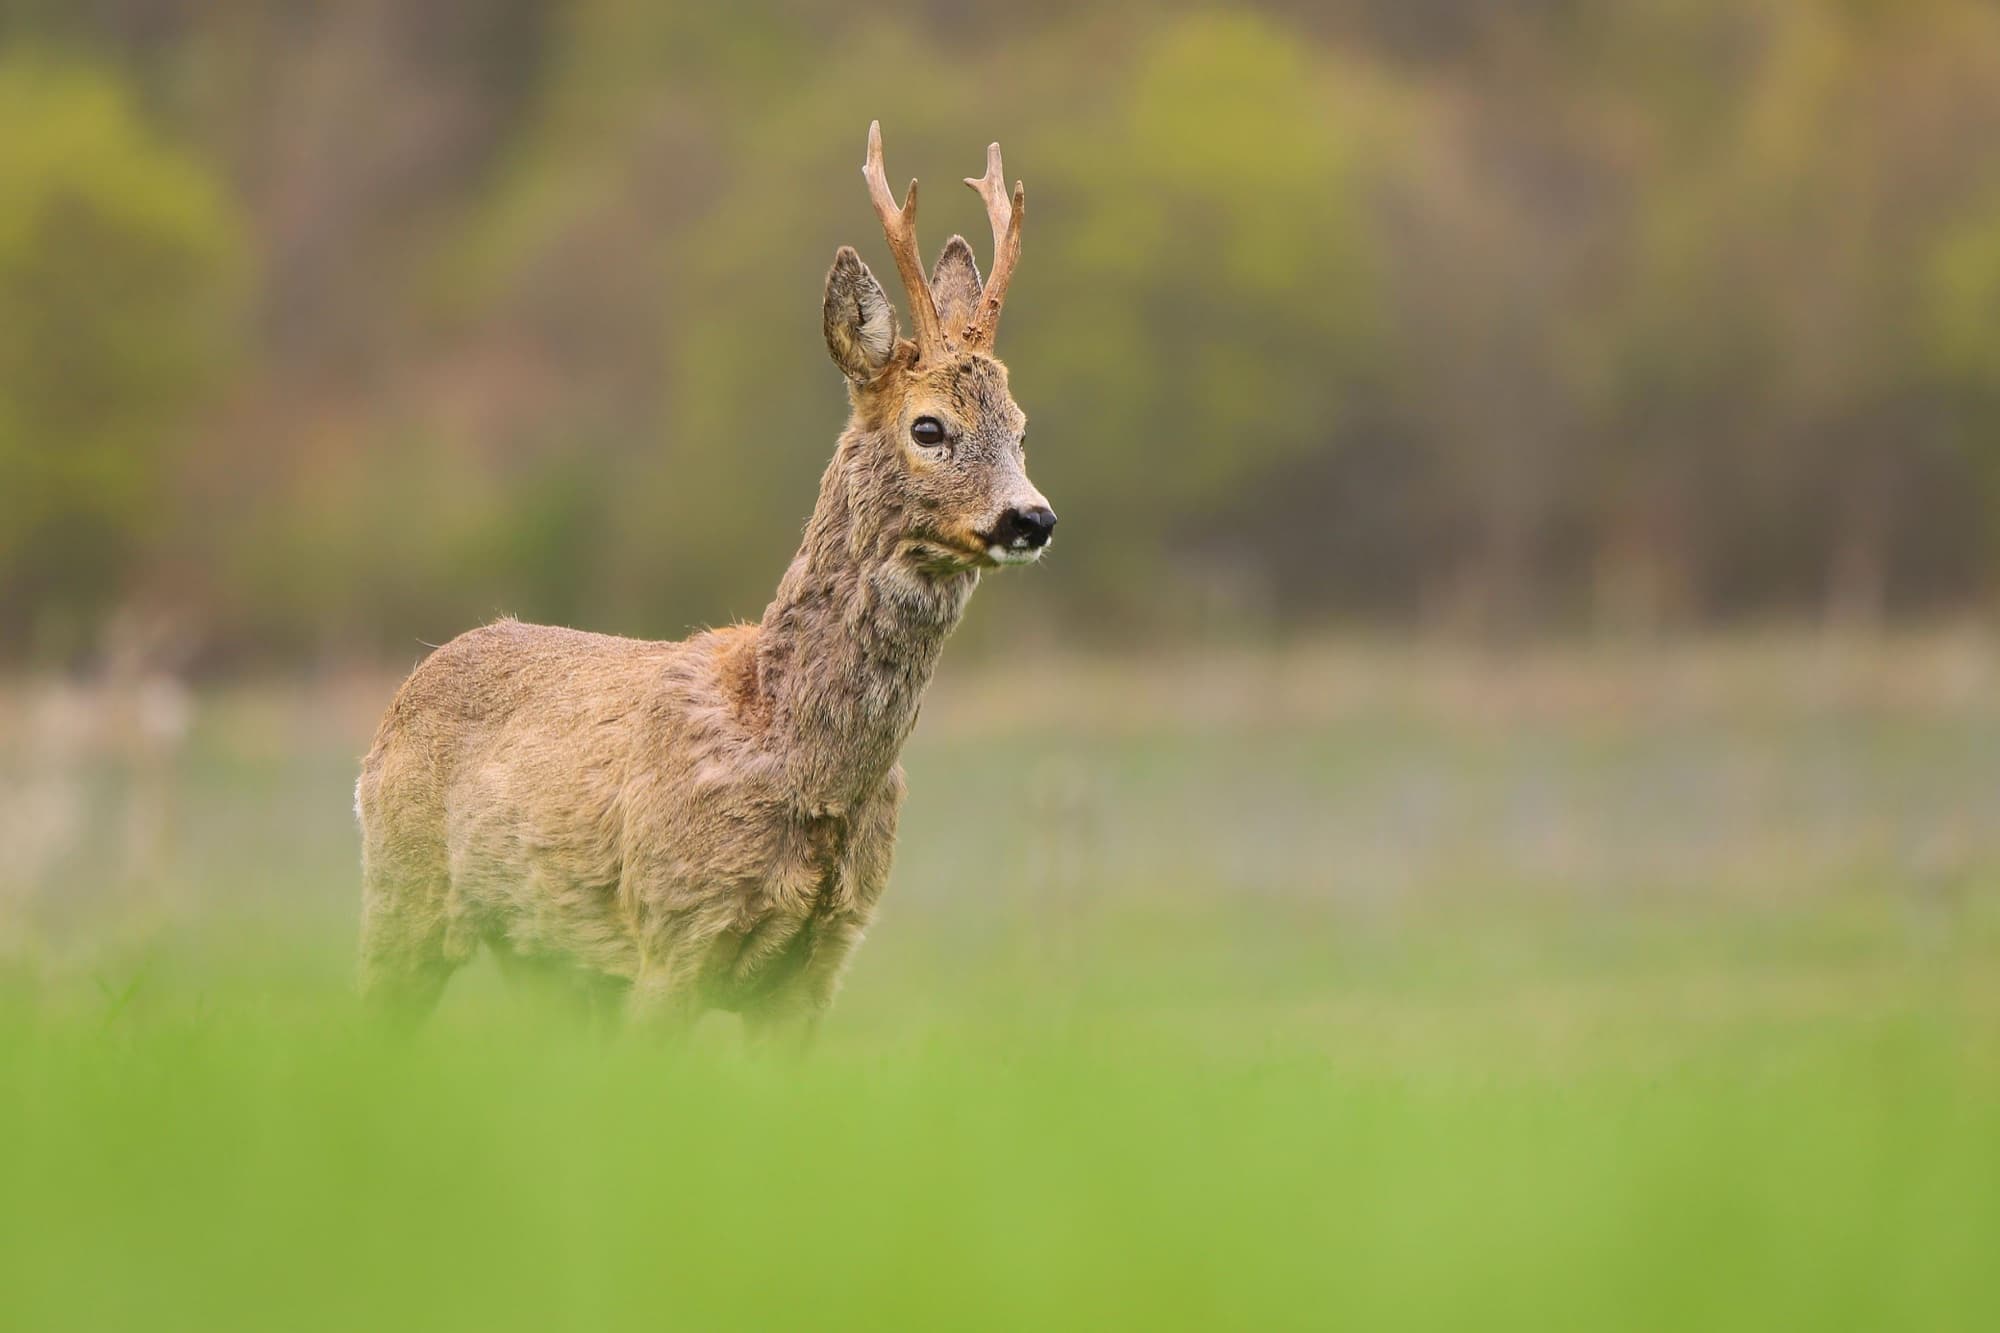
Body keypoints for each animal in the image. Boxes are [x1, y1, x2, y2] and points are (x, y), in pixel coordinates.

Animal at [354, 123, 1053, 1042]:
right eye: (929, 427)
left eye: (1021, 429)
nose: (1032, 517)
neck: (798, 760)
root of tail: (401, 698)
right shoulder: (672, 931)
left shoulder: (821, 963)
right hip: (402, 894)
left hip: (548, 964)